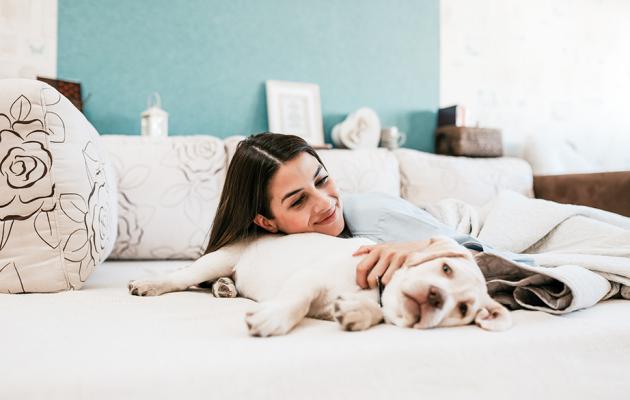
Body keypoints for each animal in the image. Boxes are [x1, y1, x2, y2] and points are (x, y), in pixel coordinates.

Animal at [128, 233, 512, 336]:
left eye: (462, 309)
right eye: (445, 268)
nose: (435, 298)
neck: (377, 289)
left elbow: (372, 311)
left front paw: (357, 312)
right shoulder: (308, 279)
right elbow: (296, 301)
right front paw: (273, 319)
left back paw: (225, 288)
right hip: (219, 258)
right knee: (182, 276)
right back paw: (149, 283)